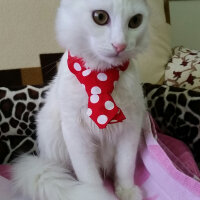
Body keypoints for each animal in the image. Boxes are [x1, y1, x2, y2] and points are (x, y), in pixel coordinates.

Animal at [12, 0, 148, 200]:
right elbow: (89, 176)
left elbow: (125, 167)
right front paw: (97, 194)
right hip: (52, 138)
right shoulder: (75, 131)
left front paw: (126, 190)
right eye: (100, 17)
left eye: (136, 21)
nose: (120, 45)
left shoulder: (131, 126)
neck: (101, 79)